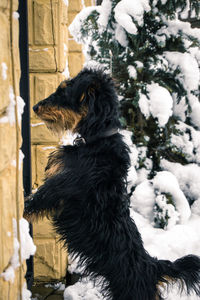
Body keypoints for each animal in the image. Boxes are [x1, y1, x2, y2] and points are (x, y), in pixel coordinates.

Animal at [24, 68, 200, 300]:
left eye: (64, 91)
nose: (35, 107)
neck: (97, 140)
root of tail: (153, 267)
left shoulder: (57, 188)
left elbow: (32, 202)